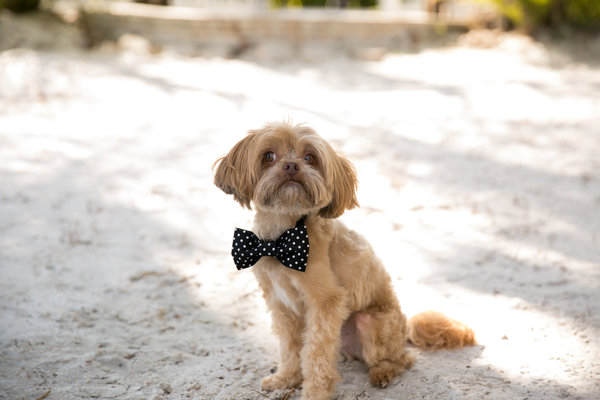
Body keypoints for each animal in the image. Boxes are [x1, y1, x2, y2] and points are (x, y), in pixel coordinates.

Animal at [213, 122, 476, 400]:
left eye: (310, 158)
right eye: (269, 156)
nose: (292, 166)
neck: (283, 236)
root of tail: (406, 331)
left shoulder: (325, 303)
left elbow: (316, 354)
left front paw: (314, 393)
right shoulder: (280, 304)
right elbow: (290, 346)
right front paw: (286, 378)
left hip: (370, 322)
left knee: (401, 359)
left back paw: (382, 372)